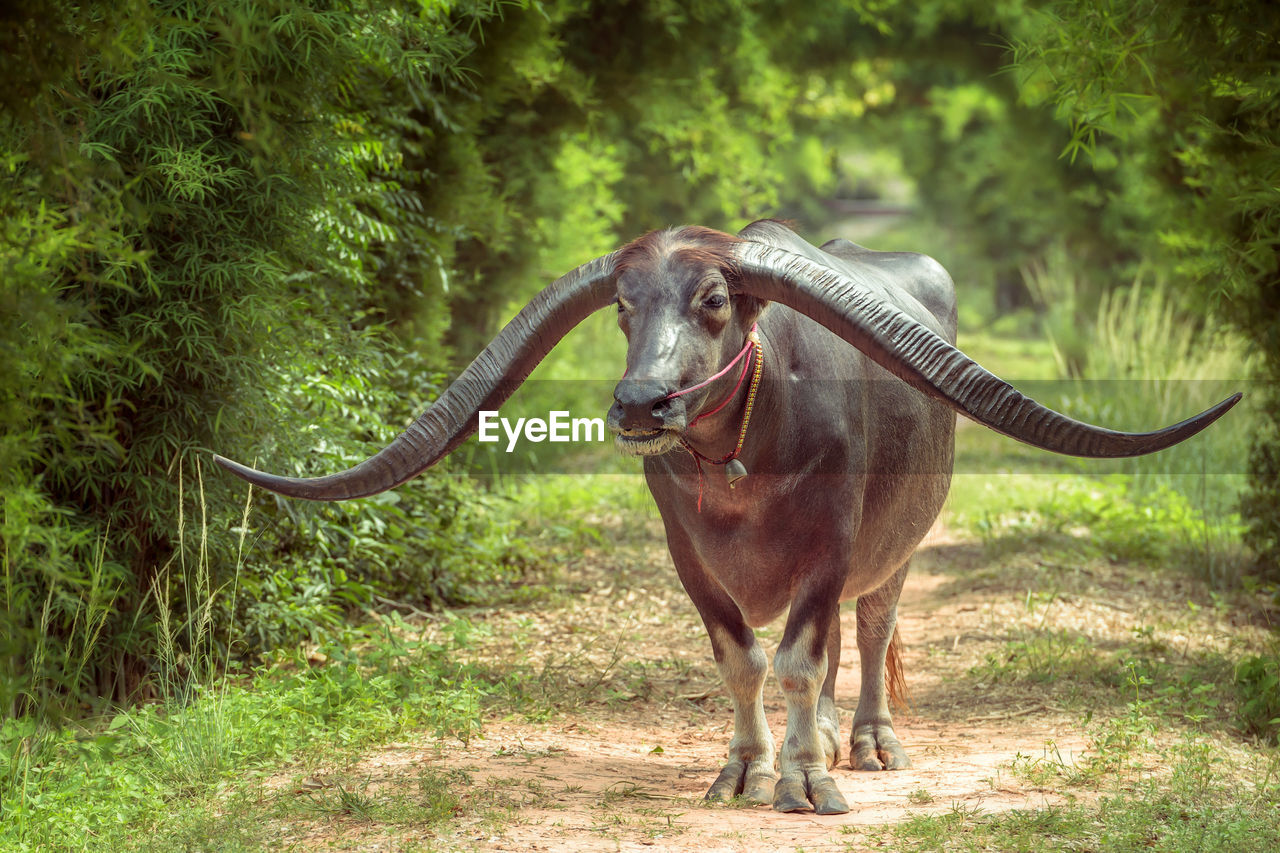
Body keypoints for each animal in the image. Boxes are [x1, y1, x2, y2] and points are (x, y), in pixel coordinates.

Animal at [217, 217, 1239, 809]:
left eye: (713, 298)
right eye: (623, 306)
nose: (640, 404)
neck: (749, 458)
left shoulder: (832, 543)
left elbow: (799, 658)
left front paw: (806, 779)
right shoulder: (687, 555)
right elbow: (744, 658)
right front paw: (749, 766)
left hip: (900, 546)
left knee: (870, 630)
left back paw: (865, 741)